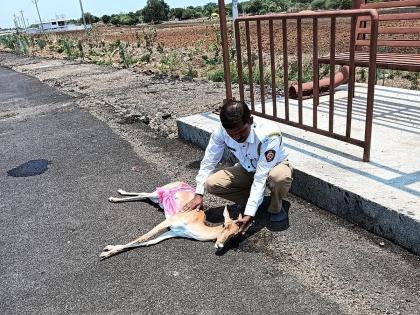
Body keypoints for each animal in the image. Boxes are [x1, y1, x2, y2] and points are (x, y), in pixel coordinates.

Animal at [99, 183, 241, 260]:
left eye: (234, 235)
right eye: (224, 225)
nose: (220, 245)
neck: (195, 225)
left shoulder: (173, 232)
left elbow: (149, 242)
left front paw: (109, 249)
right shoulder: (169, 222)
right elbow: (144, 237)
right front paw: (105, 253)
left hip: (157, 200)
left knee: (144, 195)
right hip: (157, 194)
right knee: (145, 193)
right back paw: (115, 196)